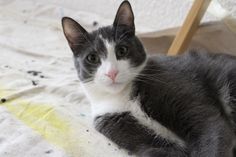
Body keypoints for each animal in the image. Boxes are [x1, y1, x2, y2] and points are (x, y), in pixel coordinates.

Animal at [61, 1, 236, 157]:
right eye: (92, 58)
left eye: (122, 50)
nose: (112, 73)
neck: (123, 97)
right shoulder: (113, 124)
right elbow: (155, 151)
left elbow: (209, 125)